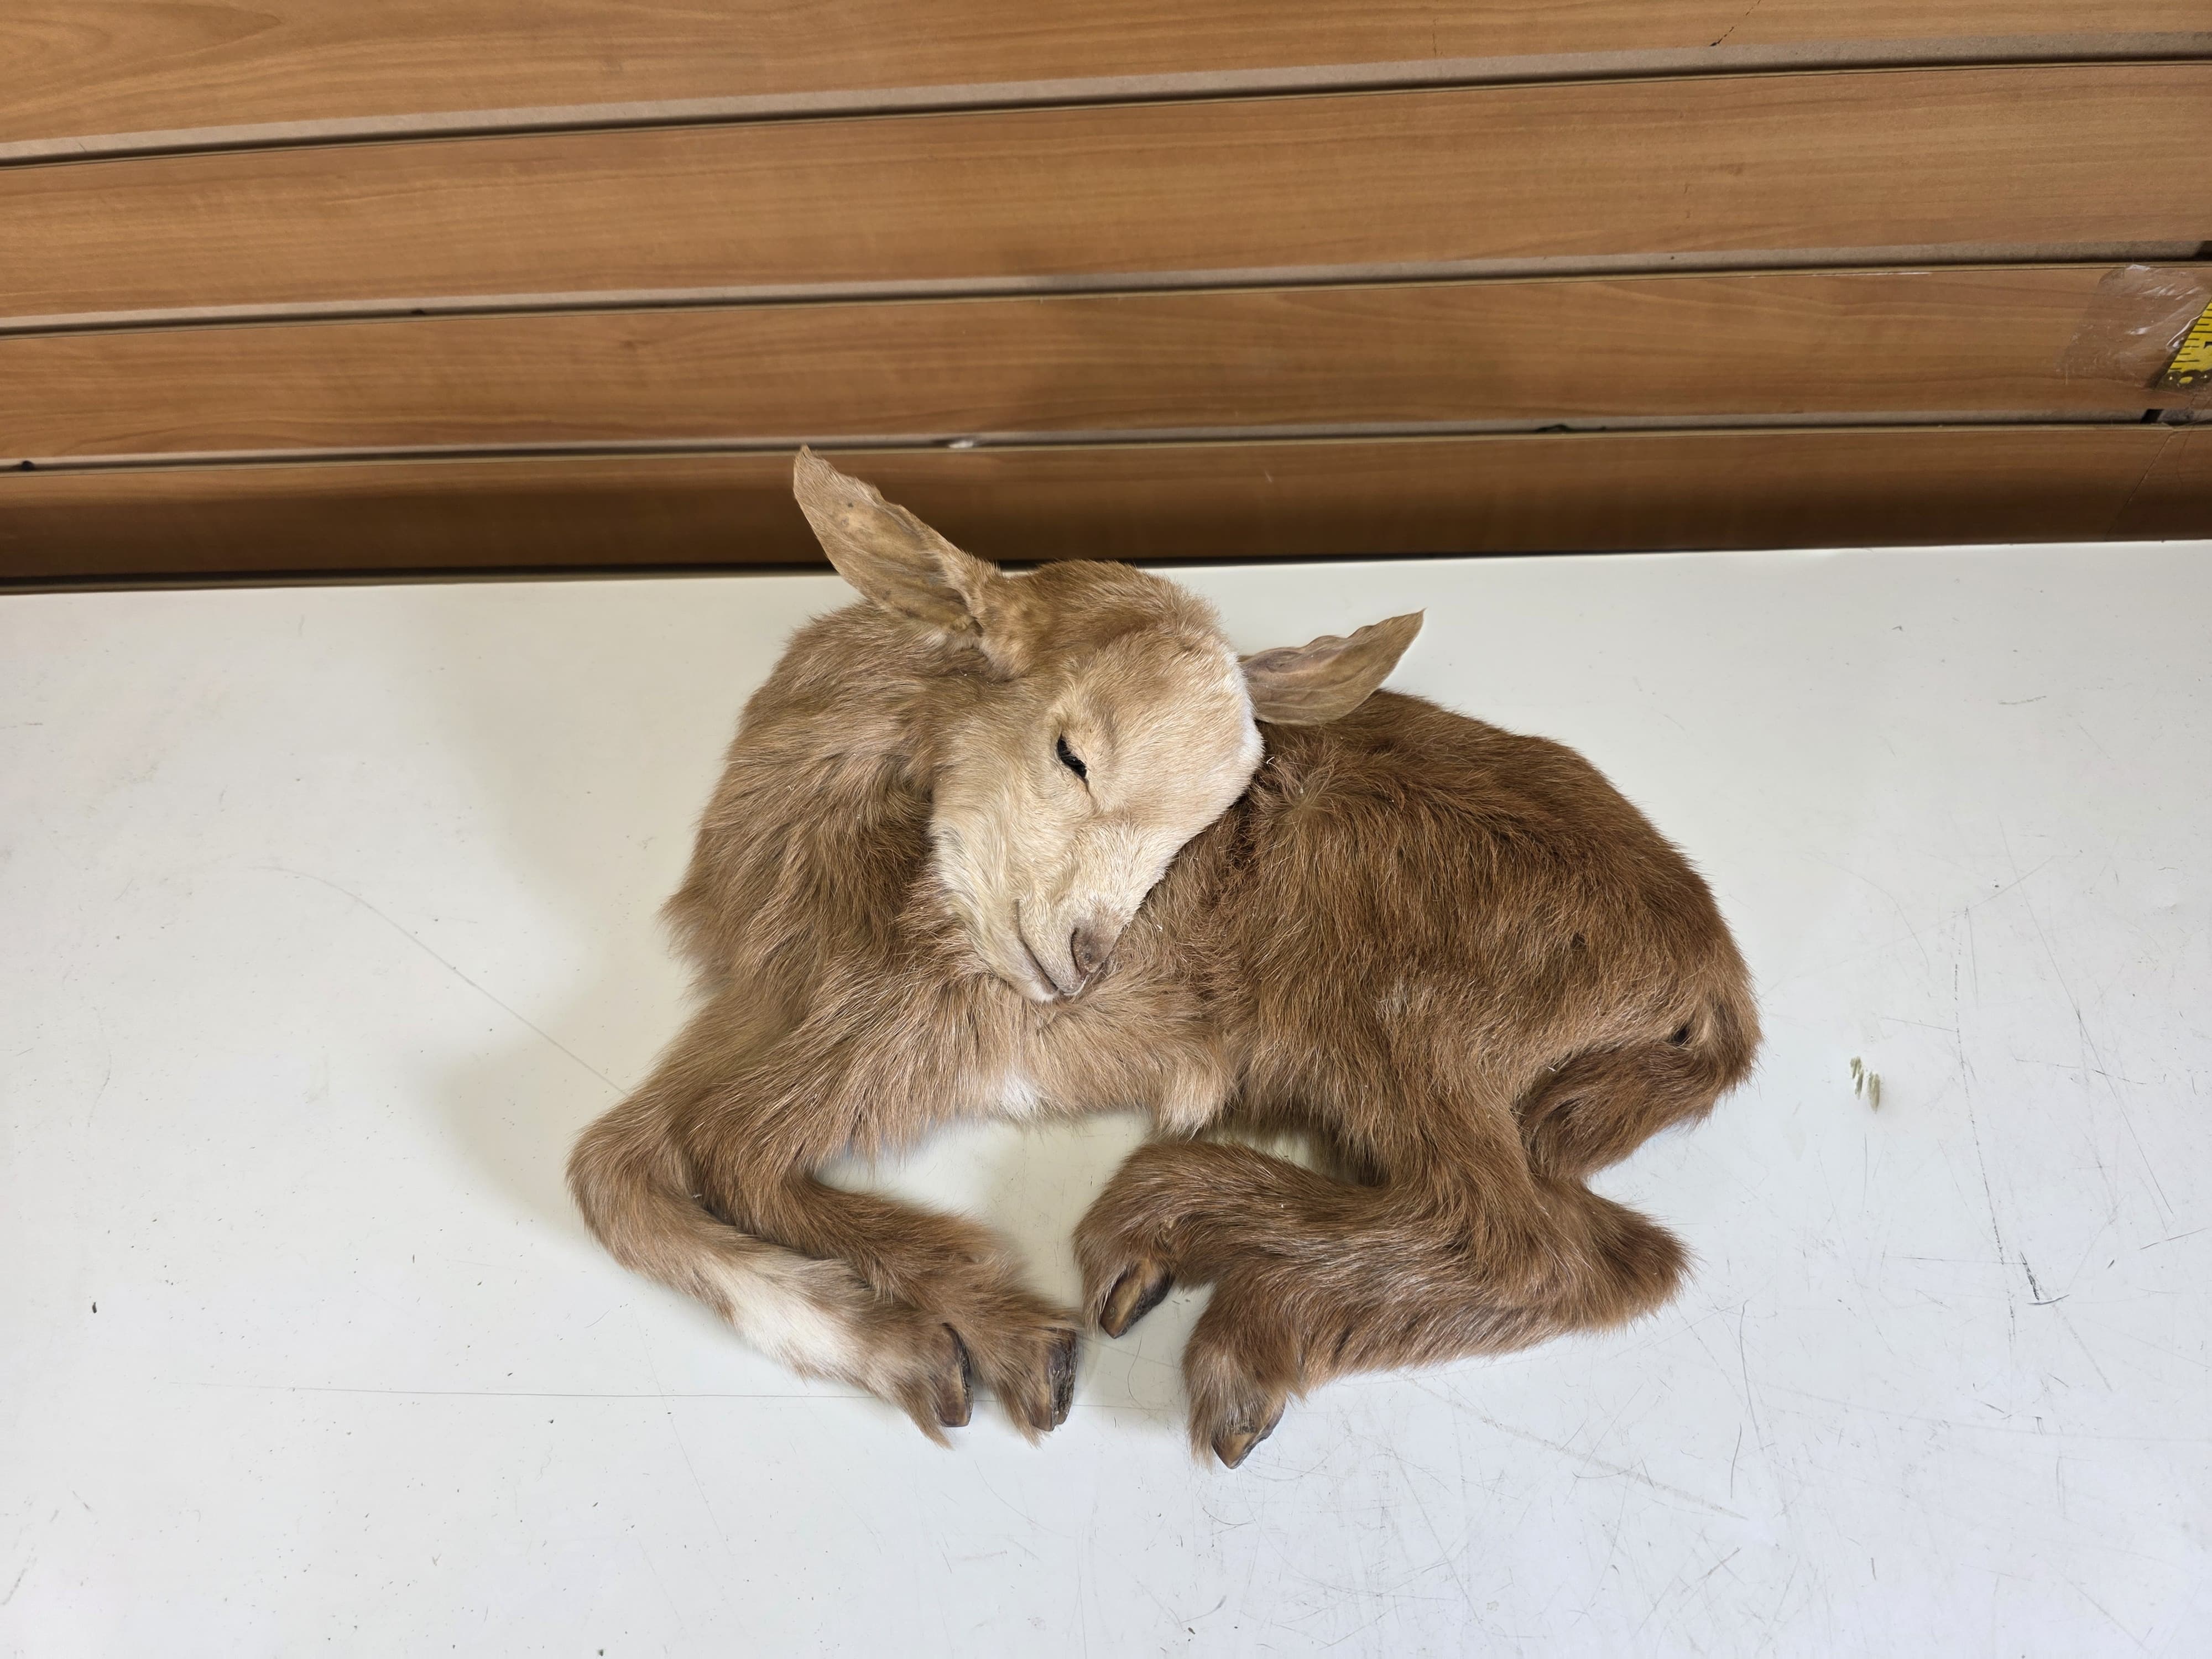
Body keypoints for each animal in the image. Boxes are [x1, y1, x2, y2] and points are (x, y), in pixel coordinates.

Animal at [569, 450, 1758, 1467]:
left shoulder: (902, 1028)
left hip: (1415, 1021)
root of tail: (1712, 983)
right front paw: (896, 1348)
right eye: (1071, 752)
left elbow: (727, 1148)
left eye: (1217, 814)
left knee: (1557, 1248)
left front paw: (1007, 1345)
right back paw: (1178, 1252)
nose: (1083, 965)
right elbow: (614, 1168)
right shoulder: (768, 1002)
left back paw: (1212, 1292)